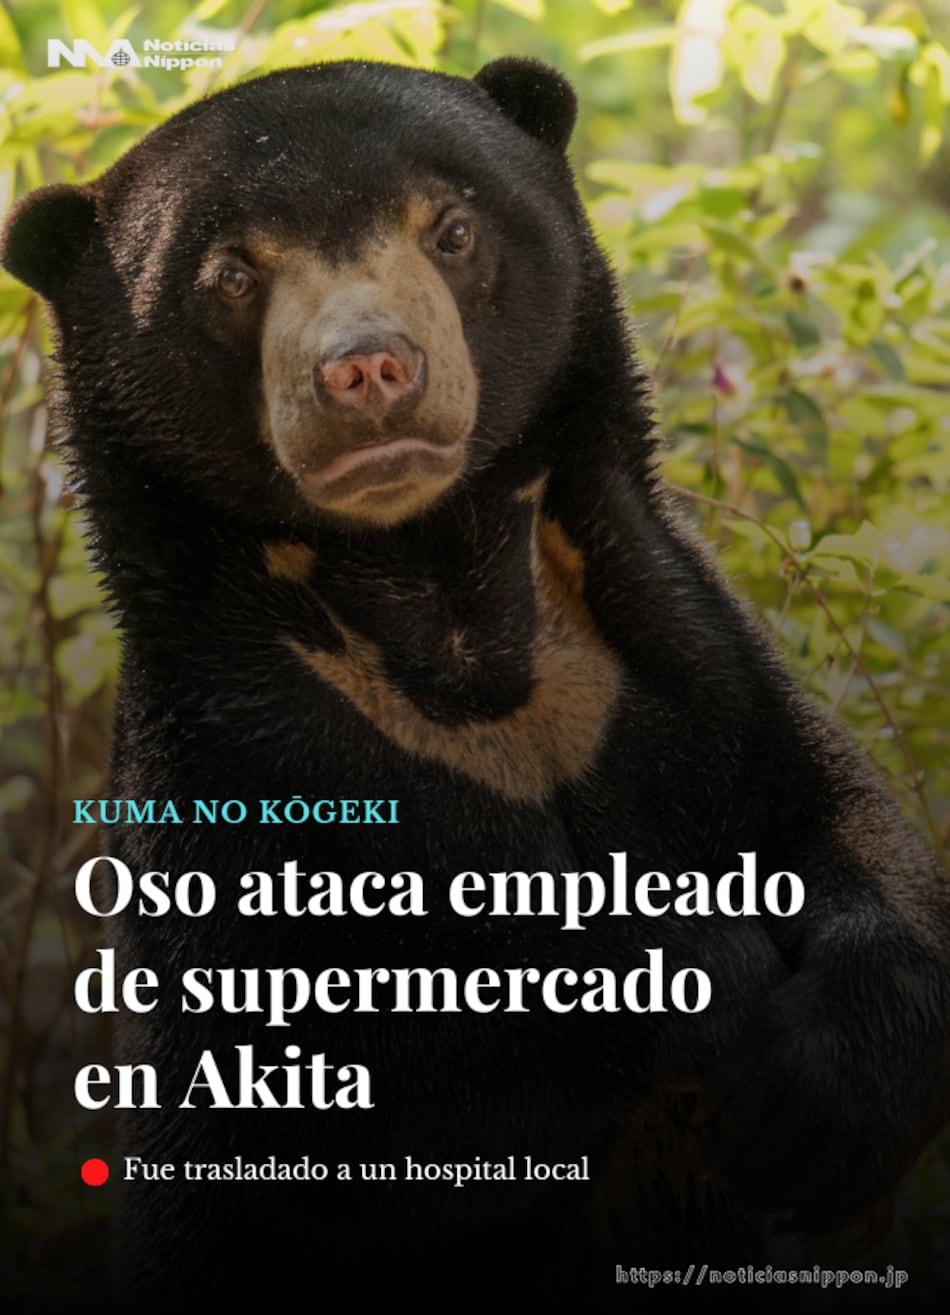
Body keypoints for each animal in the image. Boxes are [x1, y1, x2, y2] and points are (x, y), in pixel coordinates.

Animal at [3, 55, 950, 1314]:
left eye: (448, 229)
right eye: (234, 273)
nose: (367, 369)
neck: (444, 606)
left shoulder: (678, 648)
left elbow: (845, 819)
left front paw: (816, 1103)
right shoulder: (244, 767)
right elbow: (392, 1079)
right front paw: (696, 969)